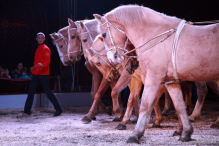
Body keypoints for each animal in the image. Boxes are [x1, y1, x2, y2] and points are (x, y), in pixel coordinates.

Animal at [93, 4, 219, 143]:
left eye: (104, 34)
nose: (113, 58)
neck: (156, 35)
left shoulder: (153, 78)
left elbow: (145, 104)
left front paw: (136, 134)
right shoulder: (170, 81)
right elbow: (179, 106)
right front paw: (186, 132)